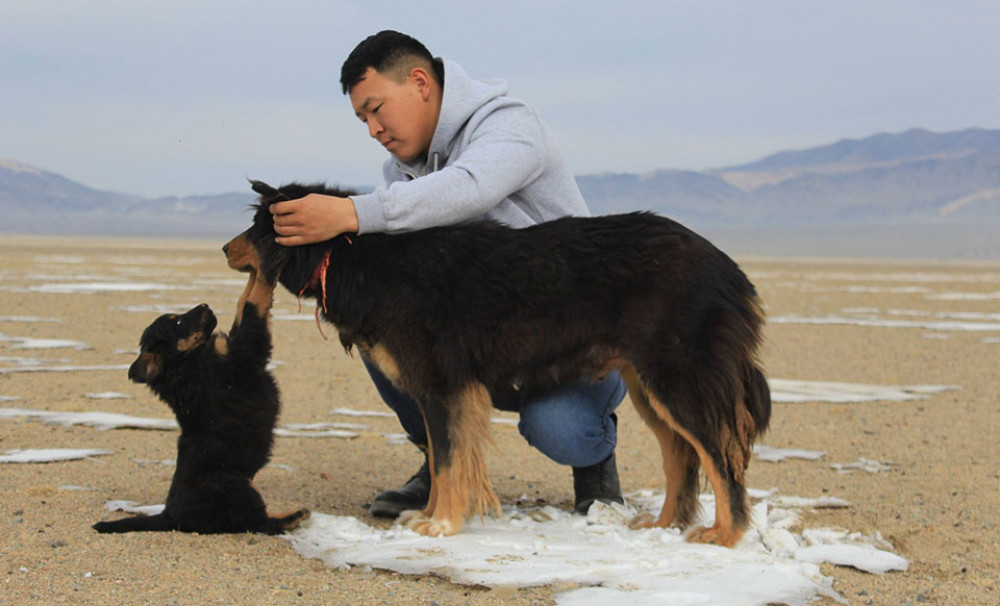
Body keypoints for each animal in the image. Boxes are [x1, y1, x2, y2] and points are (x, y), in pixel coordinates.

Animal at [98, 276, 310, 536]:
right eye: (178, 321)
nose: (205, 305)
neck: (186, 362)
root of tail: (169, 516)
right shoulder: (243, 352)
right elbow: (253, 303)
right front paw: (264, 276)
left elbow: (244, 301)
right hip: (237, 487)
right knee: (257, 523)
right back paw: (293, 516)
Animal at [227, 182, 768, 552]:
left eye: (257, 228)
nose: (226, 248)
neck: (348, 255)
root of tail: (727, 267)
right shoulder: (440, 389)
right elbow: (442, 460)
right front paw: (429, 514)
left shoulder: (441, 384)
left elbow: (448, 459)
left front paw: (442, 524)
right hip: (648, 386)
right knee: (681, 455)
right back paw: (664, 524)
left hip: (678, 378)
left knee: (720, 456)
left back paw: (726, 533)